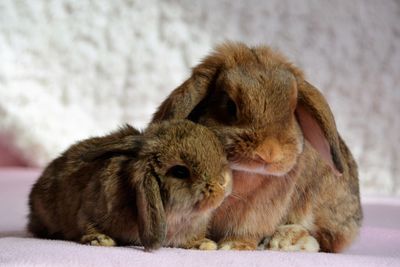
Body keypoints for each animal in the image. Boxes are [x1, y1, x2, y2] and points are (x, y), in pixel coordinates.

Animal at [28, 121, 233, 251]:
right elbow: (86, 225)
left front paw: (204, 244)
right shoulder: (87, 211)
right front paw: (101, 240)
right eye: (180, 172)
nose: (223, 183)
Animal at [151, 42, 362, 253]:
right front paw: (201, 245)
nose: (268, 153)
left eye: (292, 112)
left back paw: (285, 241)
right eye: (229, 105)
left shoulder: (258, 211)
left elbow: (245, 230)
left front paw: (234, 246)